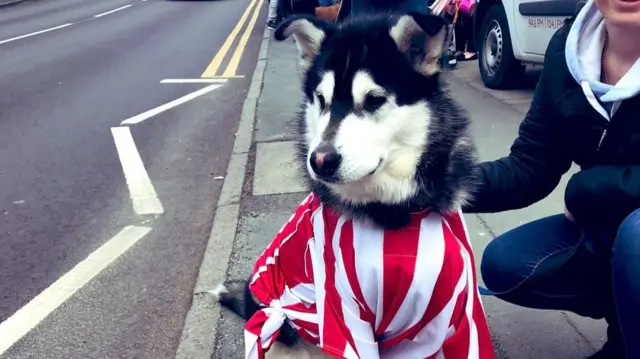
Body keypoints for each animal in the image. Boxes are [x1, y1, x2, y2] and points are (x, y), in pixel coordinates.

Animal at [212, 11, 498, 359]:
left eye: (374, 100)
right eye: (321, 99)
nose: (320, 160)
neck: (394, 214)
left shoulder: (450, 313)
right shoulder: (344, 314)